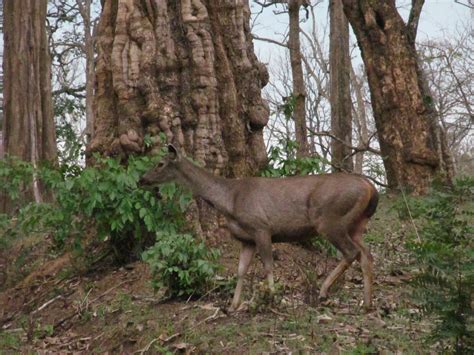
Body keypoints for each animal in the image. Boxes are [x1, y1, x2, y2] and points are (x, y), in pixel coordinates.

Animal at [139, 145, 380, 312]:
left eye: (160, 163)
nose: (142, 179)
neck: (229, 201)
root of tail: (371, 187)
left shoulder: (261, 227)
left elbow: (268, 266)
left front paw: (272, 298)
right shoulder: (246, 239)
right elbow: (240, 270)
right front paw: (234, 305)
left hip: (330, 219)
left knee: (352, 252)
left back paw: (323, 291)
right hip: (356, 224)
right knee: (367, 254)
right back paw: (366, 303)